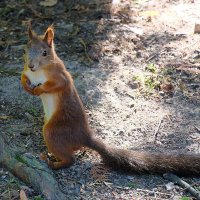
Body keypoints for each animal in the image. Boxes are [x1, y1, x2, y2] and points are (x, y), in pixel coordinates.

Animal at [20, 25, 200, 177]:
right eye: (26, 49)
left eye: (45, 53)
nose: (31, 65)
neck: (38, 72)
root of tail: (84, 136)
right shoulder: (27, 72)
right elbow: (23, 76)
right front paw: (26, 86)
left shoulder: (61, 76)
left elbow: (57, 85)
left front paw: (39, 90)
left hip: (55, 131)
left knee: (71, 159)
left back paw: (53, 164)